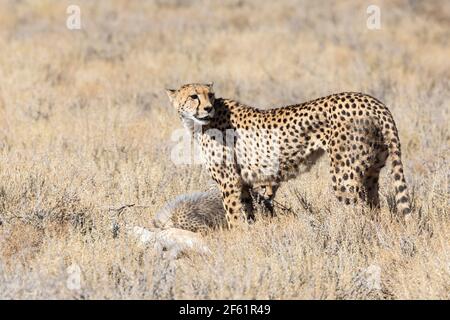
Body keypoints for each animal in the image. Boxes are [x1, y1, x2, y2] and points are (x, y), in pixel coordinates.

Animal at [166, 82, 412, 228]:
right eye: (194, 96)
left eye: (210, 95)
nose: (208, 108)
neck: (198, 124)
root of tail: (371, 100)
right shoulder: (244, 183)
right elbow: (248, 213)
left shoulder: (229, 181)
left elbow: (233, 217)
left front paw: (235, 242)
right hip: (371, 171)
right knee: (374, 207)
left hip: (343, 176)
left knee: (359, 212)